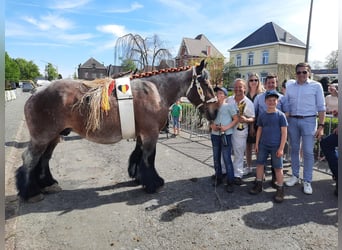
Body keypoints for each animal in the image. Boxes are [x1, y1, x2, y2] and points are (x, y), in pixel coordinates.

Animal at [16, 59, 218, 202]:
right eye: (205, 83)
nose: (215, 111)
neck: (155, 91)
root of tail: (35, 92)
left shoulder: (141, 135)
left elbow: (138, 155)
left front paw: (138, 177)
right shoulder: (150, 134)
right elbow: (149, 159)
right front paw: (154, 183)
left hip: (53, 137)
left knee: (44, 159)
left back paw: (47, 183)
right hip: (42, 137)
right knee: (30, 159)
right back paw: (31, 192)